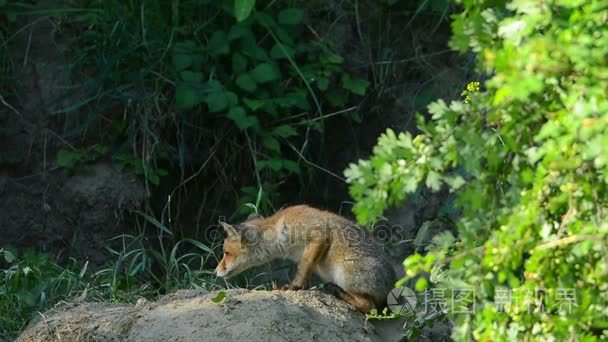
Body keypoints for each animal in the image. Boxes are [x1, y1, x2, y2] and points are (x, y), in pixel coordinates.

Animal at [216, 204, 396, 312]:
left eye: (226, 253)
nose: (215, 271)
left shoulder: (319, 235)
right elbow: (306, 268)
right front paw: (303, 286)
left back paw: (336, 291)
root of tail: (392, 284)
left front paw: (294, 286)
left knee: (371, 307)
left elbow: (304, 266)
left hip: (344, 274)